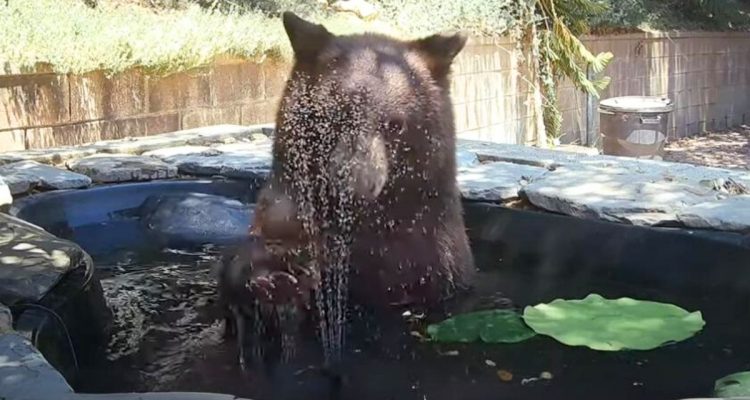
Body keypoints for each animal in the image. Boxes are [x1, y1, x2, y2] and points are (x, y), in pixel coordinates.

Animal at [245, 10, 482, 310]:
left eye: (395, 125)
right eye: (333, 115)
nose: (356, 185)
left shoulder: (431, 247)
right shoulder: (282, 215)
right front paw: (277, 280)